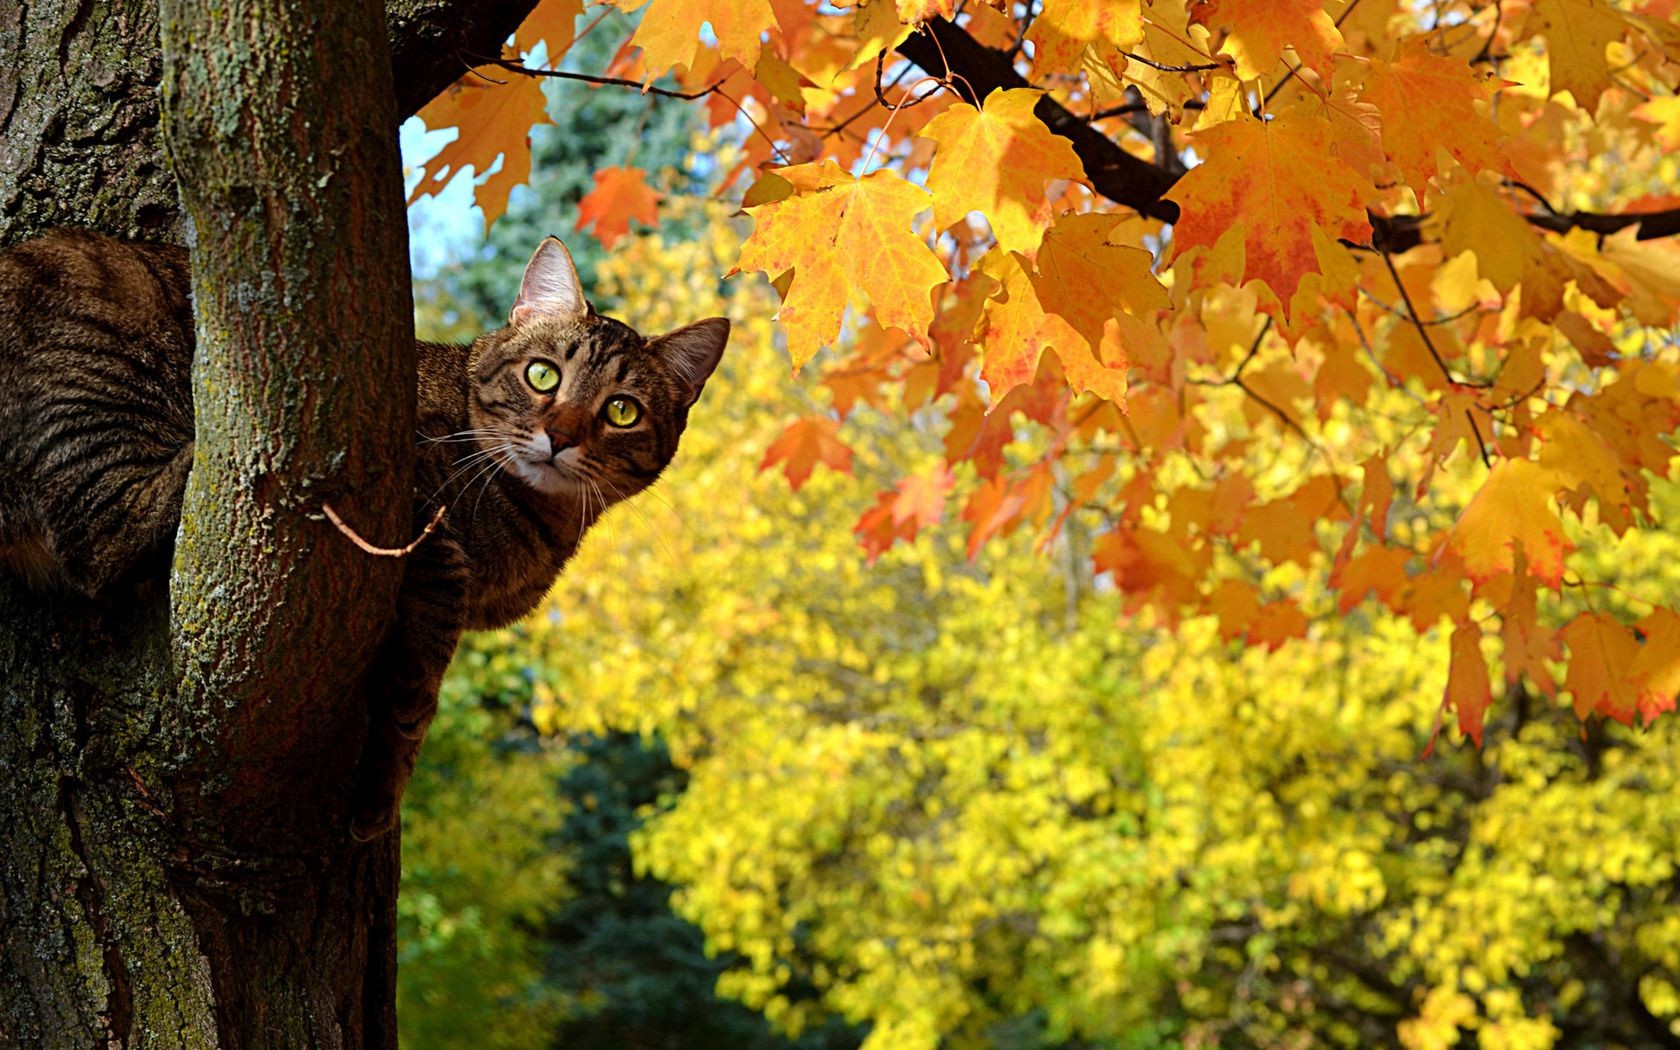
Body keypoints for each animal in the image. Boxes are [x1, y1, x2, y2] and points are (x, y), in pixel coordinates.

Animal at [3, 228, 732, 836]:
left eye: (622, 412)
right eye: (543, 375)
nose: (561, 436)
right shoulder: (425, 529)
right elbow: (424, 669)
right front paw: (392, 771)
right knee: (109, 536)